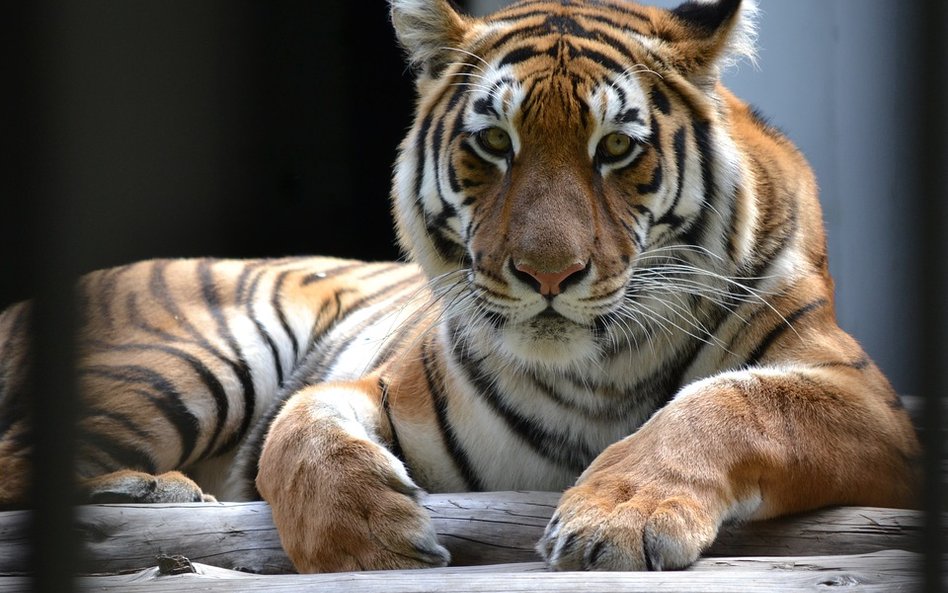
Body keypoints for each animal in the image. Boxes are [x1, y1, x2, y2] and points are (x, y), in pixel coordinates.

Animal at [0, 0, 920, 572]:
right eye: (494, 142)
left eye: (616, 149)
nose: (548, 272)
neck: (597, 371)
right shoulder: (374, 381)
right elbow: (300, 430)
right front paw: (368, 543)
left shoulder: (868, 401)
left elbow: (735, 402)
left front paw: (618, 518)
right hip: (195, 357)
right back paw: (151, 488)